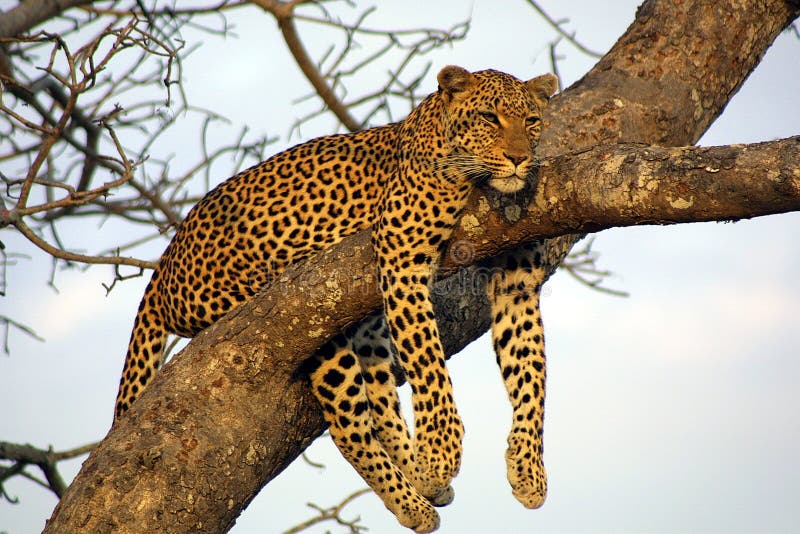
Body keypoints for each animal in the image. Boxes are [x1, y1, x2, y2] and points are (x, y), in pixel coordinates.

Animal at [114, 65, 556, 532]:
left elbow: (530, 372)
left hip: (363, 325)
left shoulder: (517, 283)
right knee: (349, 425)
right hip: (304, 315)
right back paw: (414, 499)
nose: (518, 159)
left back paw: (420, 481)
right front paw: (441, 451)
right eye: (489, 118)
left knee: (379, 398)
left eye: (531, 121)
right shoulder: (402, 261)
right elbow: (428, 364)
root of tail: (163, 267)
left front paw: (528, 470)